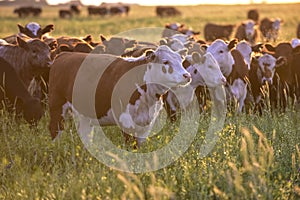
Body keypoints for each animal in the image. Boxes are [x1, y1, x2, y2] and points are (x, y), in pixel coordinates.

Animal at [48, 45, 191, 148]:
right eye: (165, 62)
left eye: (181, 60)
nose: (187, 75)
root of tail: (64, 55)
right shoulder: (125, 119)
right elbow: (130, 145)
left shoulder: (147, 122)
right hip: (57, 106)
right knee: (55, 130)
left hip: (85, 113)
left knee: (85, 133)